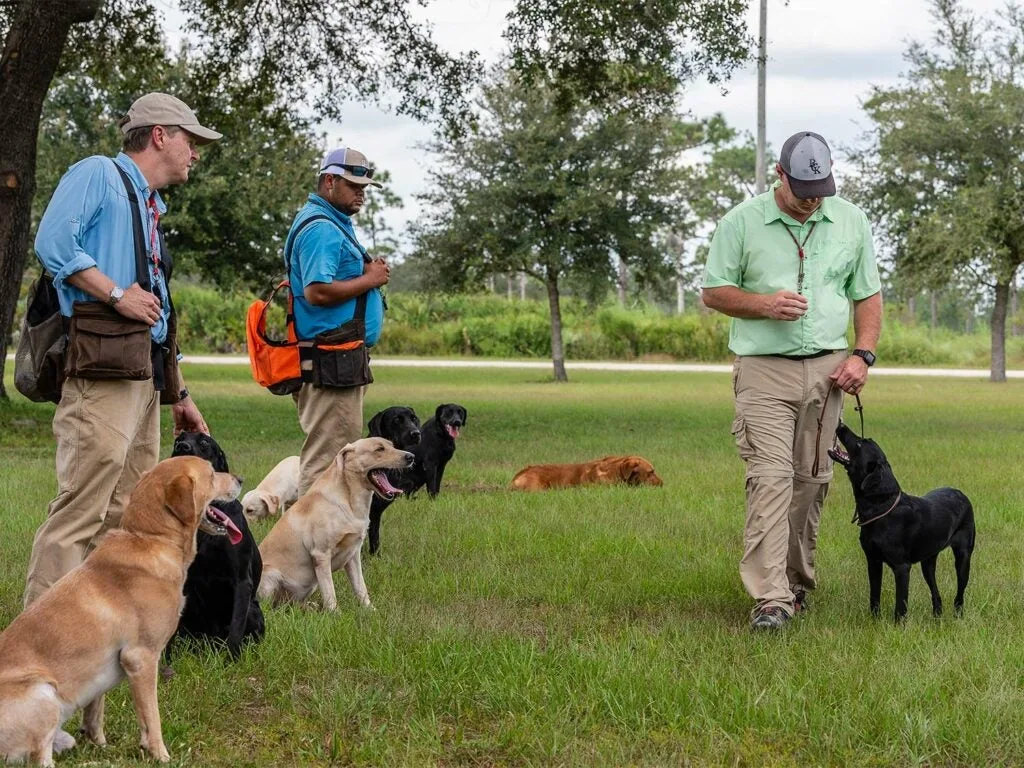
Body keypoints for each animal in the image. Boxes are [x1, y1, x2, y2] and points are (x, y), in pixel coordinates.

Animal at [0, 460, 239, 765]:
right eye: (211, 474)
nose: (240, 479)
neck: (149, 538)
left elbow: (99, 713)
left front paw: (102, 743)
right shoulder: (141, 658)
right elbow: (152, 717)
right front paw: (161, 755)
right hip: (44, 693)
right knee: (41, 759)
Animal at [258, 438, 413, 614]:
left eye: (392, 445)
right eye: (379, 449)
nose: (411, 457)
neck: (350, 501)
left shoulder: (353, 555)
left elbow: (360, 587)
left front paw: (370, 609)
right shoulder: (321, 554)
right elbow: (329, 591)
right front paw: (335, 614)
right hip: (270, 575)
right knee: (269, 606)